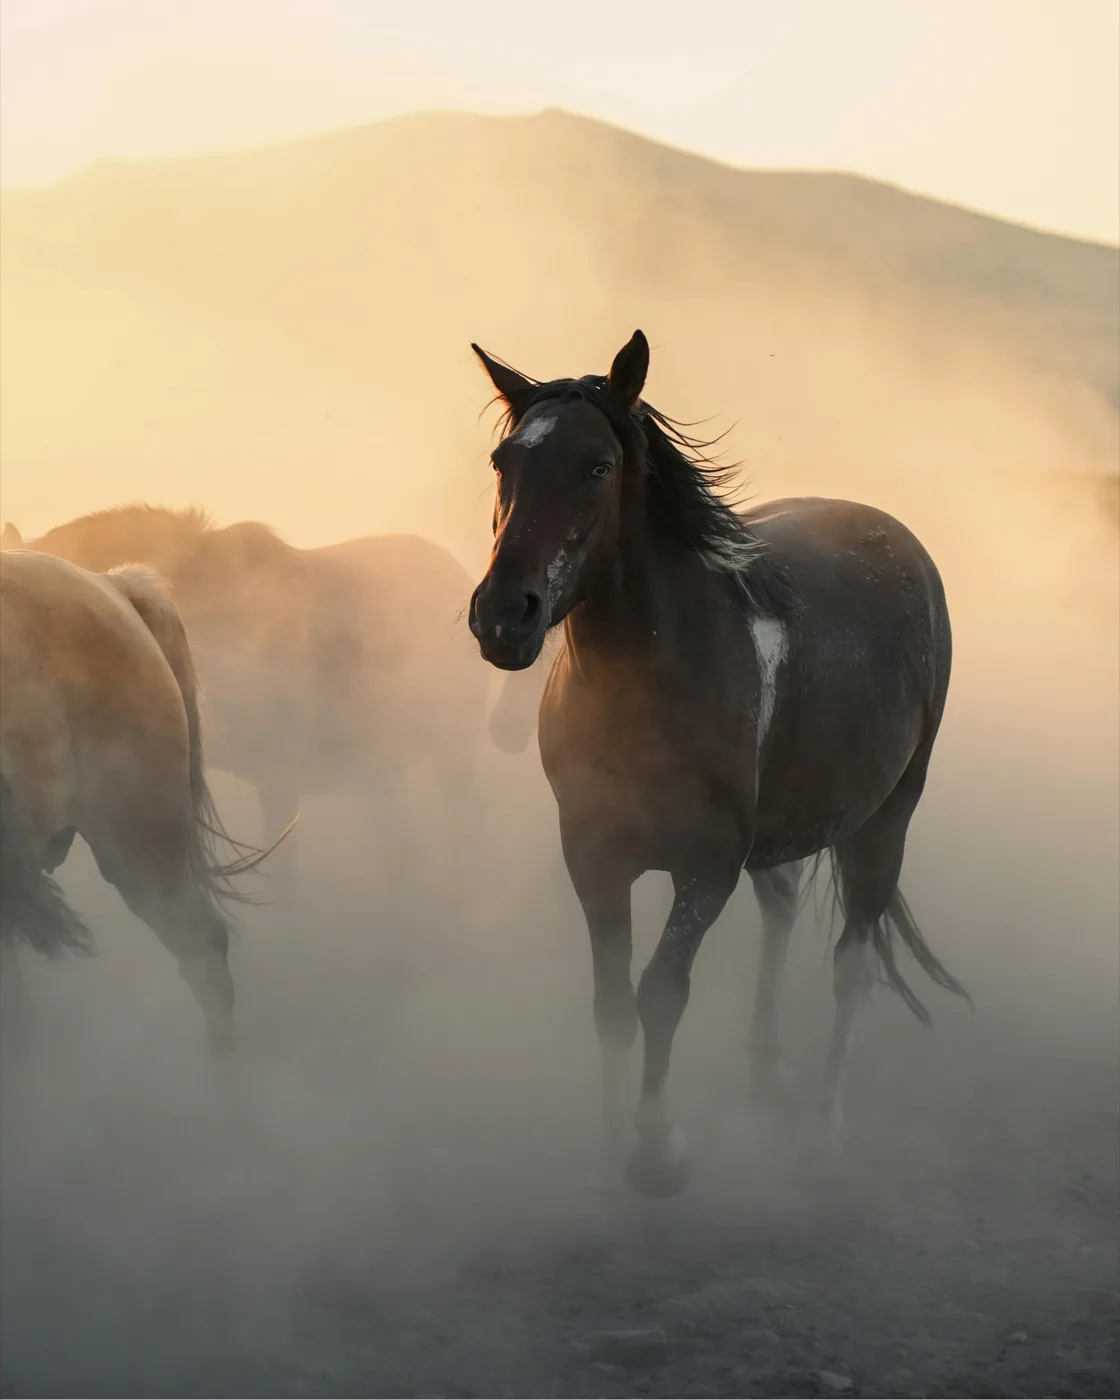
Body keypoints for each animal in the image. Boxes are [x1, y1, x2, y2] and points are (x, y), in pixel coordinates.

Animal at [467, 330, 969, 1198]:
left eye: (597, 466)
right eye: (505, 459)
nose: (504, 616)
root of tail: (900, 542)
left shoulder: (706, 870)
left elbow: (661, 994)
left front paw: (658, 1148)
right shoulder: (593, 857)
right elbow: (611, 1003)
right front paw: (610, 1144)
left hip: (886, 819)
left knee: (854, 963)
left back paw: (823, 1134)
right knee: (784, 908)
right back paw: (767, 1070)